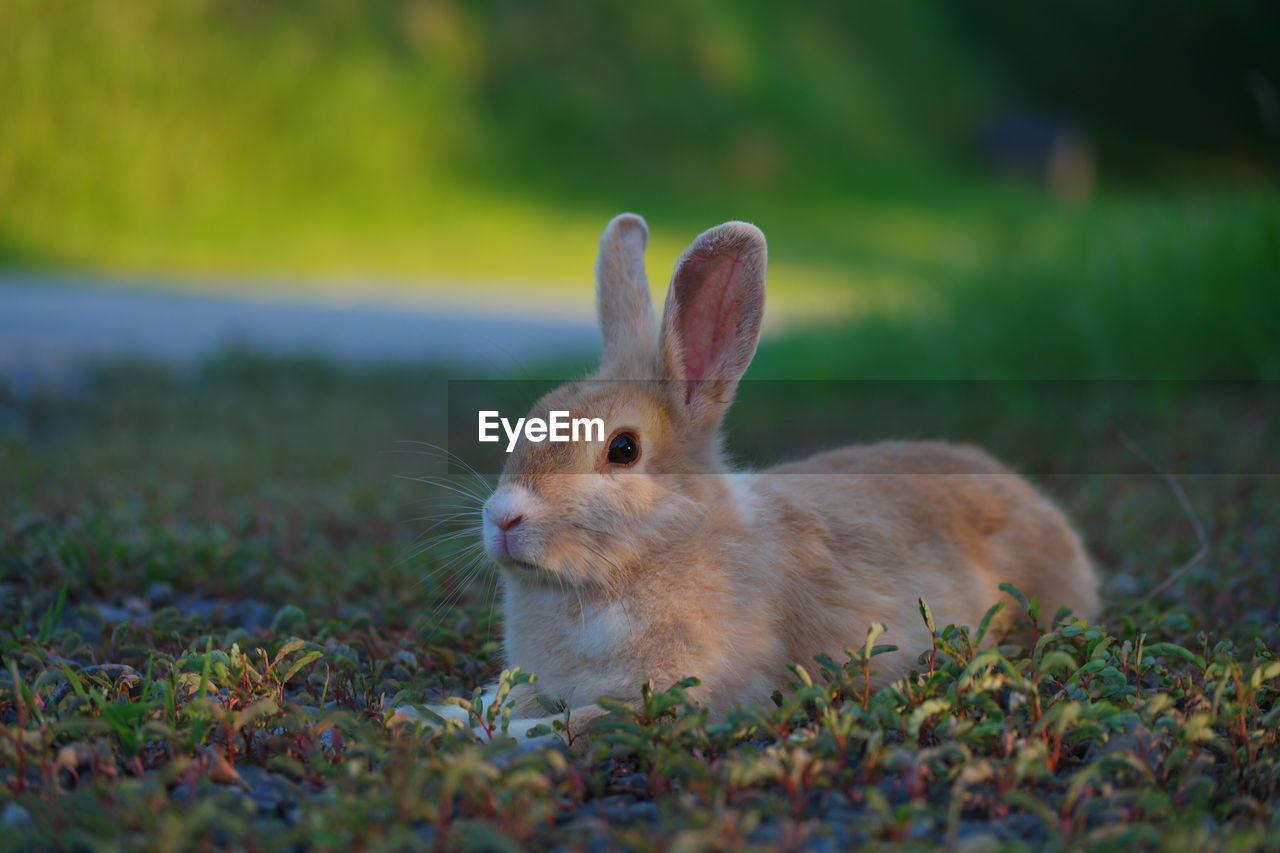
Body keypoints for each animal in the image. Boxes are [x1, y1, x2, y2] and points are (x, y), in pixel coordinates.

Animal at [414, 216, 1095, 742]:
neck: (657, 549)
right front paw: (439, 713)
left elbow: (567, 724)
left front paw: (471, 732)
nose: (504, 517)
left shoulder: (677, 693)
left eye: (623, 449)